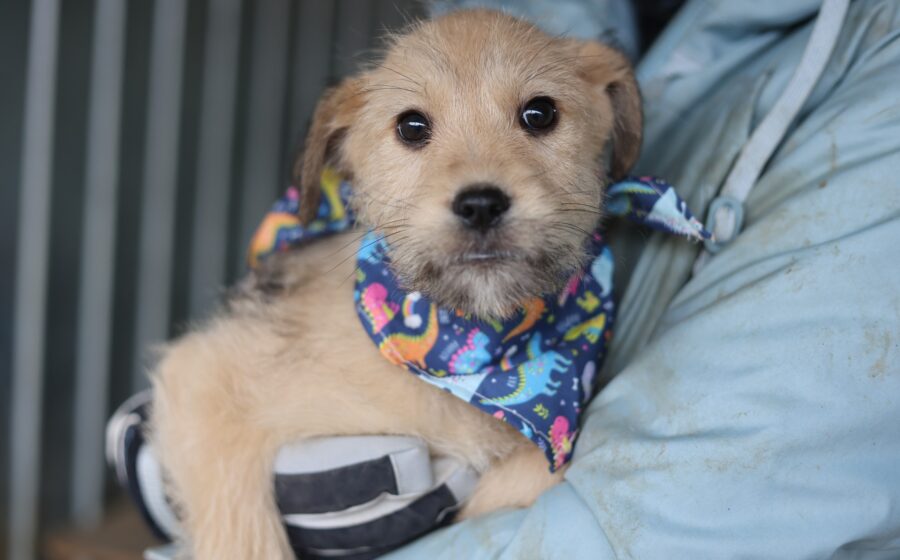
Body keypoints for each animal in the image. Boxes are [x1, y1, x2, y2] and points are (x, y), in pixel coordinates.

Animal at [150, 9, 641, 558]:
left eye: (540, 113)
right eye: (411, 126)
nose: (481, 205)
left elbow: (535, 471)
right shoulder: (206, 376)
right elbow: (241, 529)